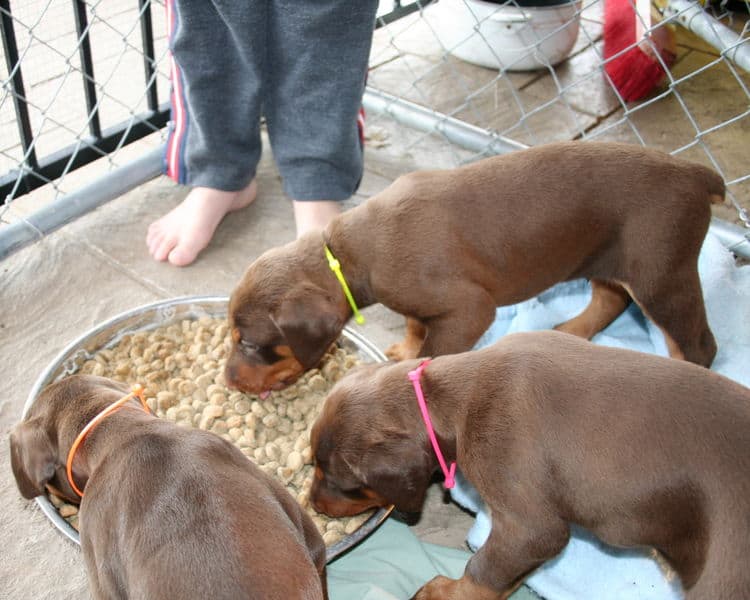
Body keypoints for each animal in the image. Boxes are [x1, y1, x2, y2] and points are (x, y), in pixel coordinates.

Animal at [310, 330, 750, 596]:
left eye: (347, 485)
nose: (313, 503)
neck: (460, 395)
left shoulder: (529, 527)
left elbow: (483, 568)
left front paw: (445, 592)